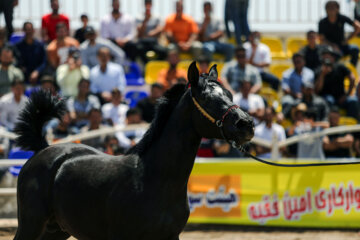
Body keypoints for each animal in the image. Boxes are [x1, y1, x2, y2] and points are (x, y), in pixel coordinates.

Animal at [13, 62, 253, 240]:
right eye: (207, 98)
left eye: (229, 94)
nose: (246, 124)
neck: (152, 179)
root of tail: (44, 149)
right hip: (31, 224)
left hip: (56, 230)